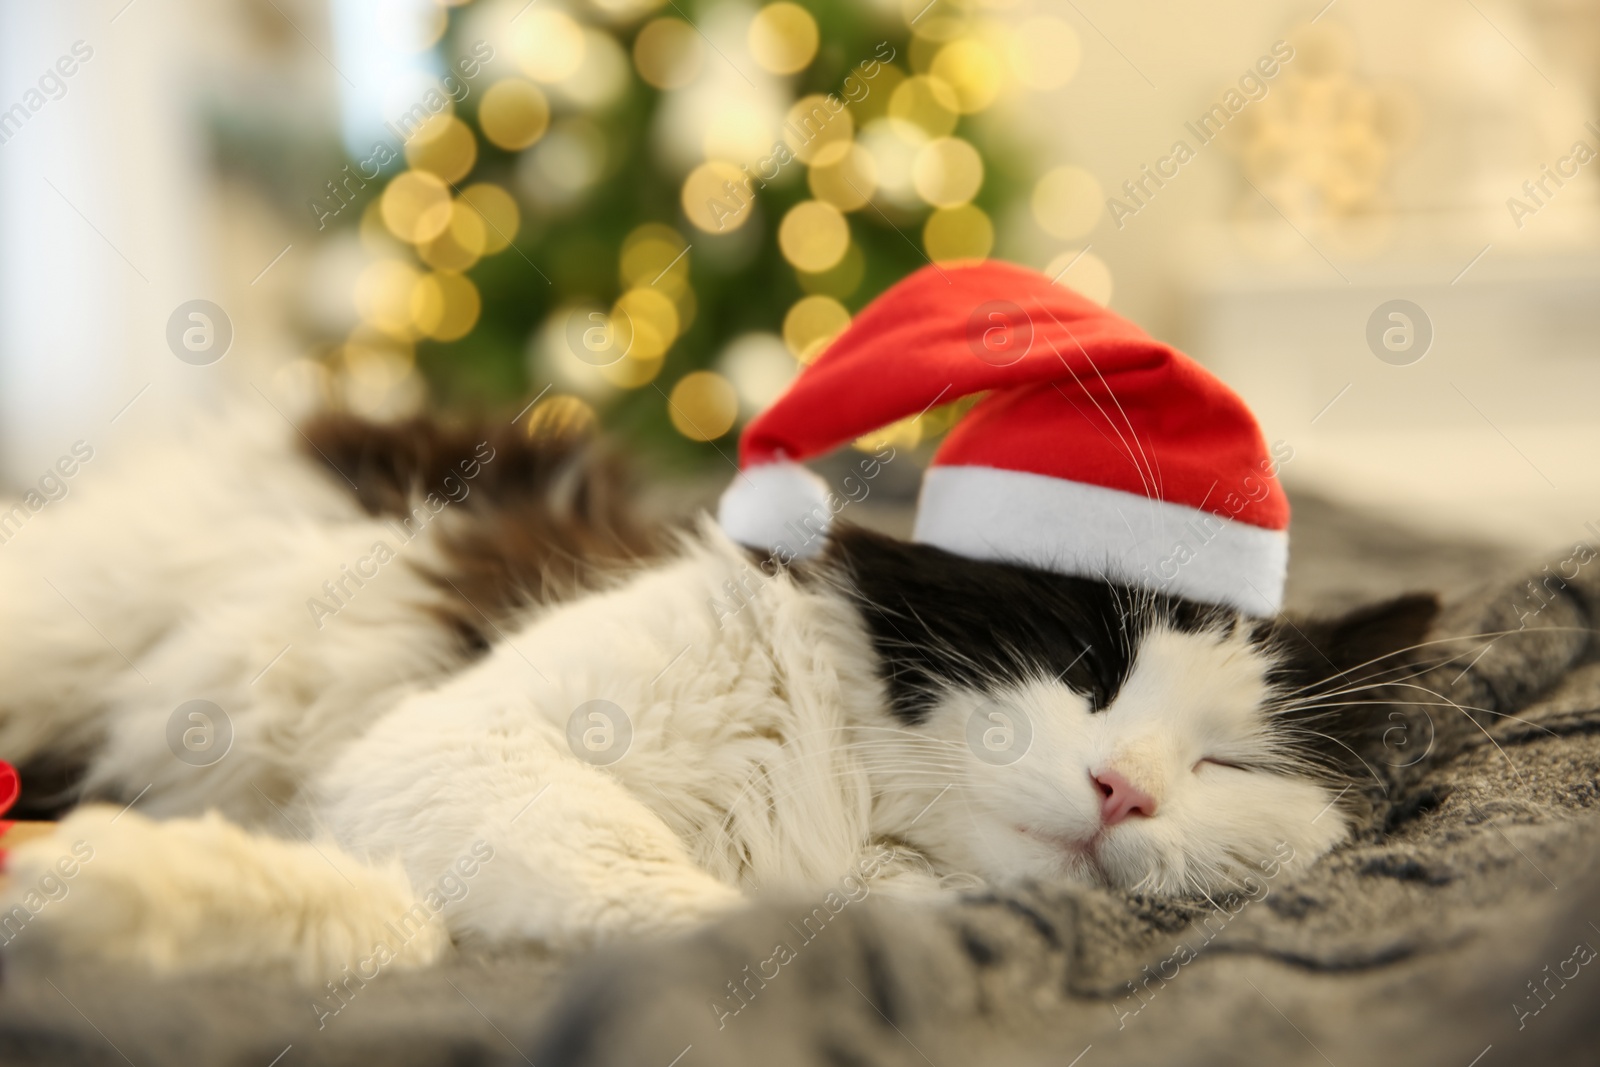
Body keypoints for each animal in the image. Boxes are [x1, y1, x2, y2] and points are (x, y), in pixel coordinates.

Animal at [0, 412, 1440, 985]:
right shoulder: (453, 741)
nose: (1123, 789)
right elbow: (647, 894)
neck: (851, 818)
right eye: (1087, 665)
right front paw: (102, 893)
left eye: (1223, 766)